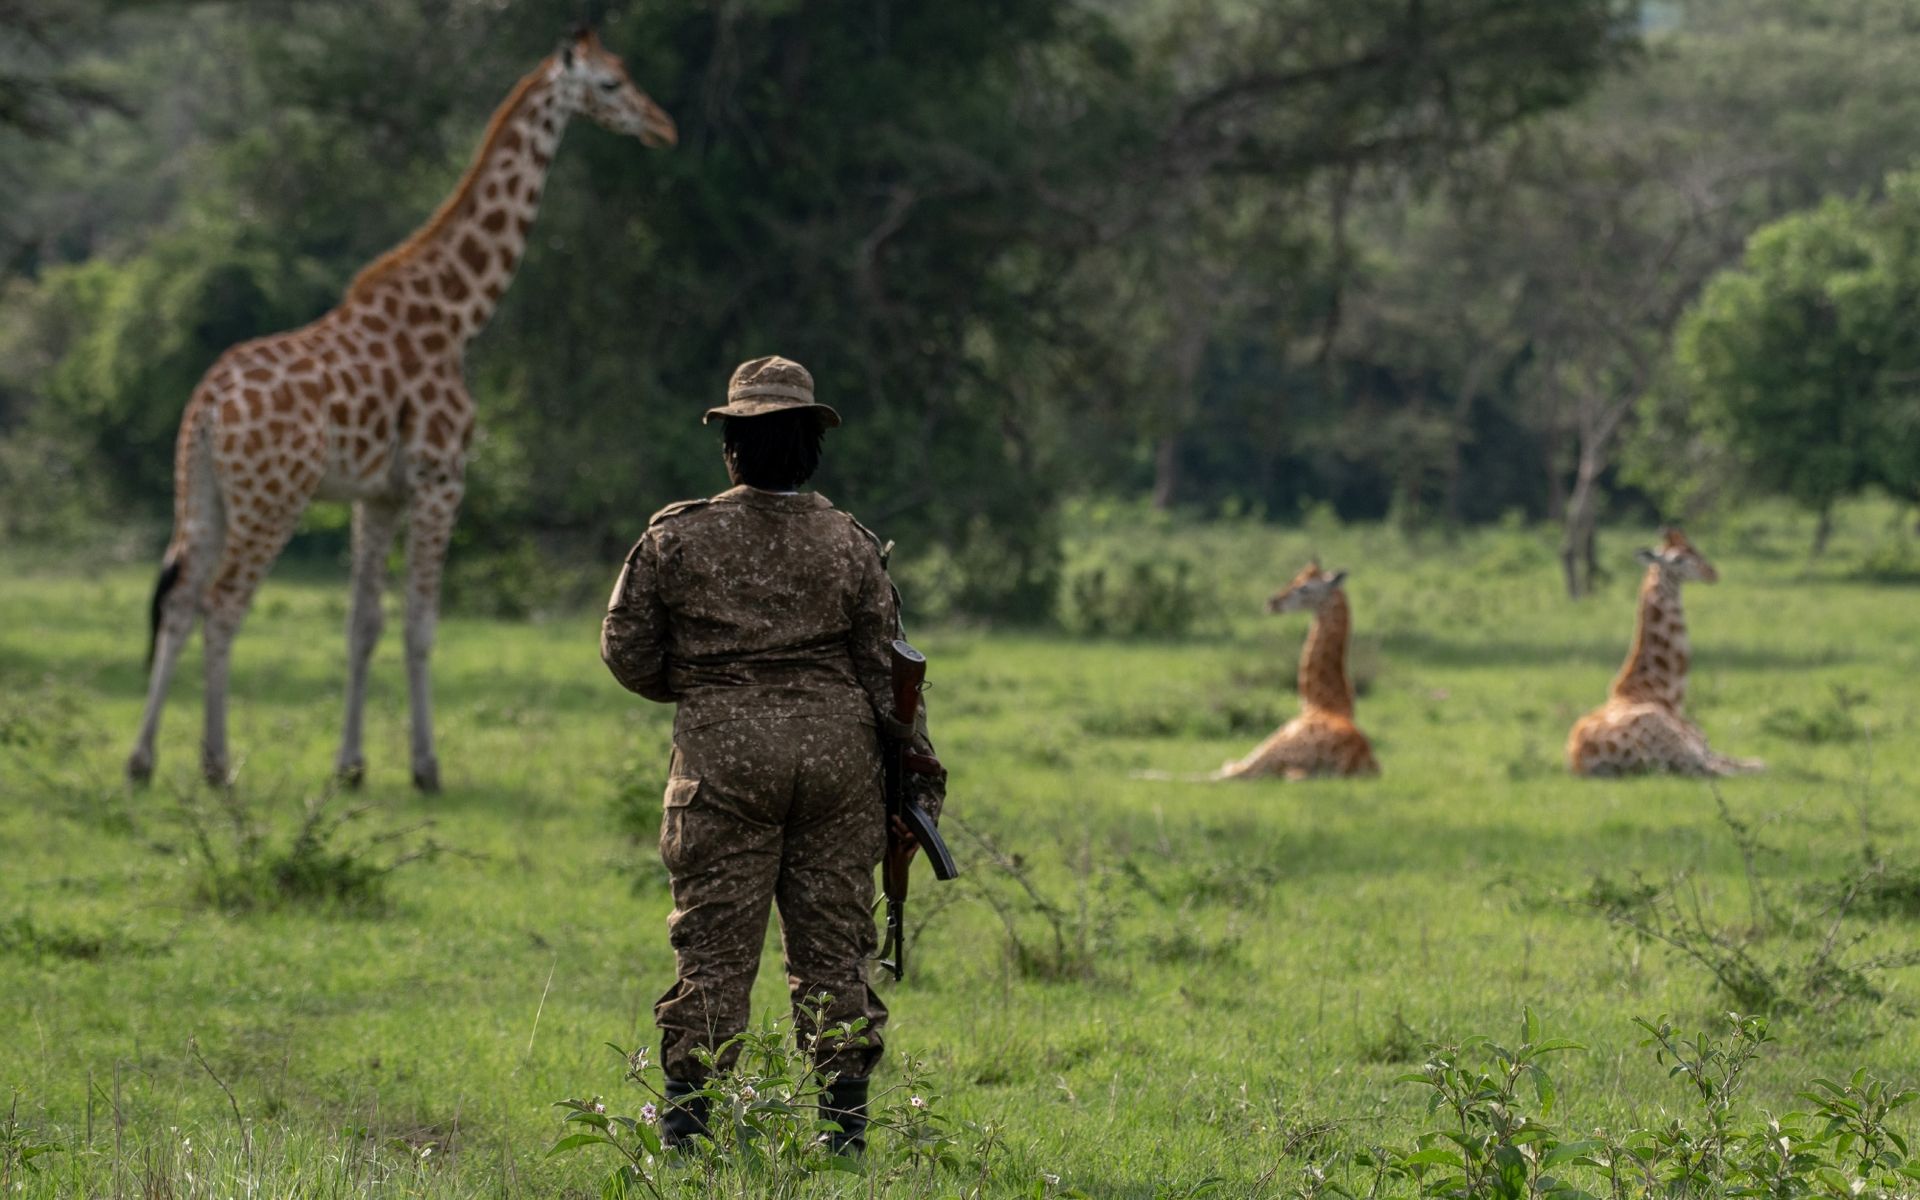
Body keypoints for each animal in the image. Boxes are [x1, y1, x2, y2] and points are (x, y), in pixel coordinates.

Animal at [126, 29, 677, 792]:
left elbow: (363, 624)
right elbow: (420, 622)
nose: (664, 127)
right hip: (273, 498)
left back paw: (141, 761)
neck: (456, 312)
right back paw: (215, 765)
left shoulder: (377, 493)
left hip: (201, 489)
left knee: (179, 600)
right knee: (224, 602)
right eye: (611, 85)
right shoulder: (440, 476)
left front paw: (352, 767)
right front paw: (425, 767)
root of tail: (207, 404)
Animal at [1217, 561, 1380, 780]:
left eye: (1304, 588)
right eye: (1294, 579)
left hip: (1271, 751)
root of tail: (1347, 764)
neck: (1323, 703)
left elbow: (1226, 765)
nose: (1273, 602)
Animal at [1566, 528, 1763, 777]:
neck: (1663, 695)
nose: (1711, 572)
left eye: (1696, 550)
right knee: (1719, 771)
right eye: (1677, 559)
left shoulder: (1704, 747)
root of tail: (1586, 761)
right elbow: (1758, 764)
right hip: (1677, 749)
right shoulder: (1697, 747)